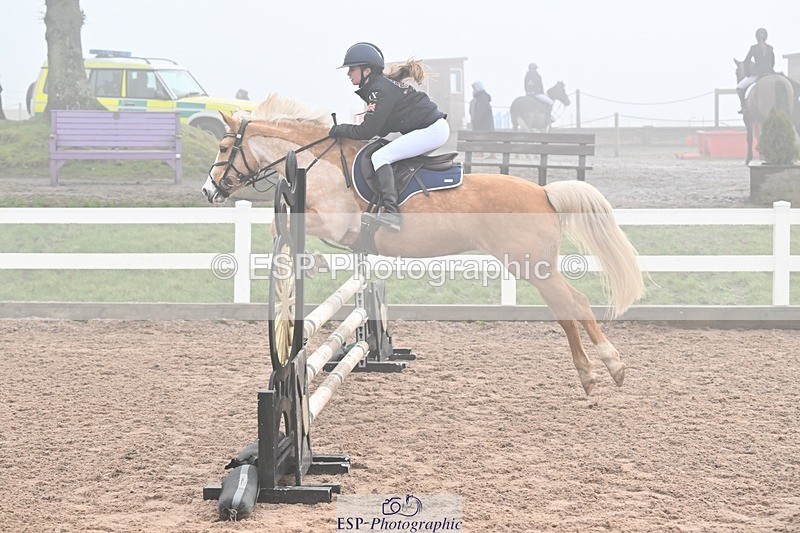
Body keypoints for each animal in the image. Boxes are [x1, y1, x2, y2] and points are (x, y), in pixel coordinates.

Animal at [201, 94, 645, 396]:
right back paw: (590, 374)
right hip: (534, 267)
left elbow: (282, 228)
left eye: (223, 148)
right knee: (567, 310)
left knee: (576, 304)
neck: (321, 163)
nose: (208, 190)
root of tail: (544, 192)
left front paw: (310, 265)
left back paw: (611, 366)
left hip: (532, 266)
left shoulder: (335, 223)